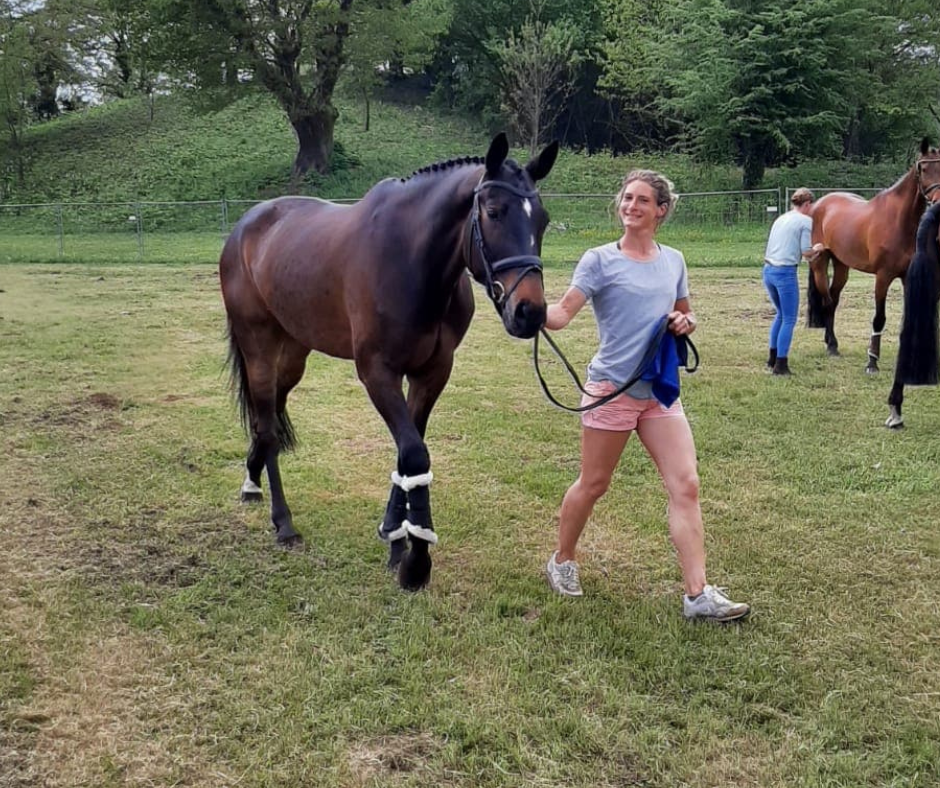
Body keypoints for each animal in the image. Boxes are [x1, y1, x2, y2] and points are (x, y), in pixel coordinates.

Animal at [220, 134, 560, 592]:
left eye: (542, 219)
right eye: (493, 212)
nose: (530, 313)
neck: (413, 264)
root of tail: (246, 224)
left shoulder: (432, 373)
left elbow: (407, 454)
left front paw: (395, 538)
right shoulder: (378, 373)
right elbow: (415, 455)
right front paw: (416, 561)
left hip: (292, 355)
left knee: (269, 412)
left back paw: (252, 480)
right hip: (258, 345)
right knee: (268, 426)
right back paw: (283, 521)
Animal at [804, 138, 940, 372]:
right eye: (923, 168)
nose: (939, 199)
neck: (899, 221)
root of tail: (819, 204)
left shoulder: (907, 276)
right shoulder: (883, 277)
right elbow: (879, 318)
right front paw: (872, 362)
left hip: (842, 266)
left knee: (834, 299)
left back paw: (831, 342)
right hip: (820, 265)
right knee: (828, 301)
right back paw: (831, 346)